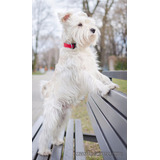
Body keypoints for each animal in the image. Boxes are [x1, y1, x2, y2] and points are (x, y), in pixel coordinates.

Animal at [38, 10, 118, 155]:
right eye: (79, 24)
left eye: (89, 22)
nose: (93, 29)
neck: (75, 47)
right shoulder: (83, 73)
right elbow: (95, 82)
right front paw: (105, 89)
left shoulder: (93, 69)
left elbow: (102, 77)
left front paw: (110, 84)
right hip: (52, 115)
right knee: (45, 133)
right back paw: (43, 150)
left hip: (63, 116)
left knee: (56, 130)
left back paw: (57, 141)